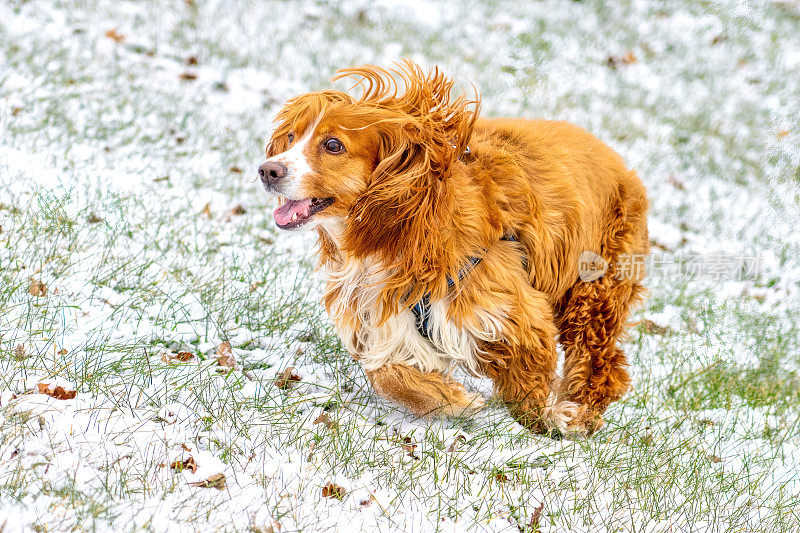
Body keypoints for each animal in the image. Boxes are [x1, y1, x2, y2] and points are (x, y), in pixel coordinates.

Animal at [260, 61, 648, 436]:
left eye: (333, 145)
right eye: (291, 137)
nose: (267, 170)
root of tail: (617, 161)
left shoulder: (512, 312)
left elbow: (528, 382)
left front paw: (544, 421)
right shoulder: (378, 317)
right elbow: (388, 375)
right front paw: (453, 400)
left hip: (595, 291)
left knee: (600, 360)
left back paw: (580, 412)